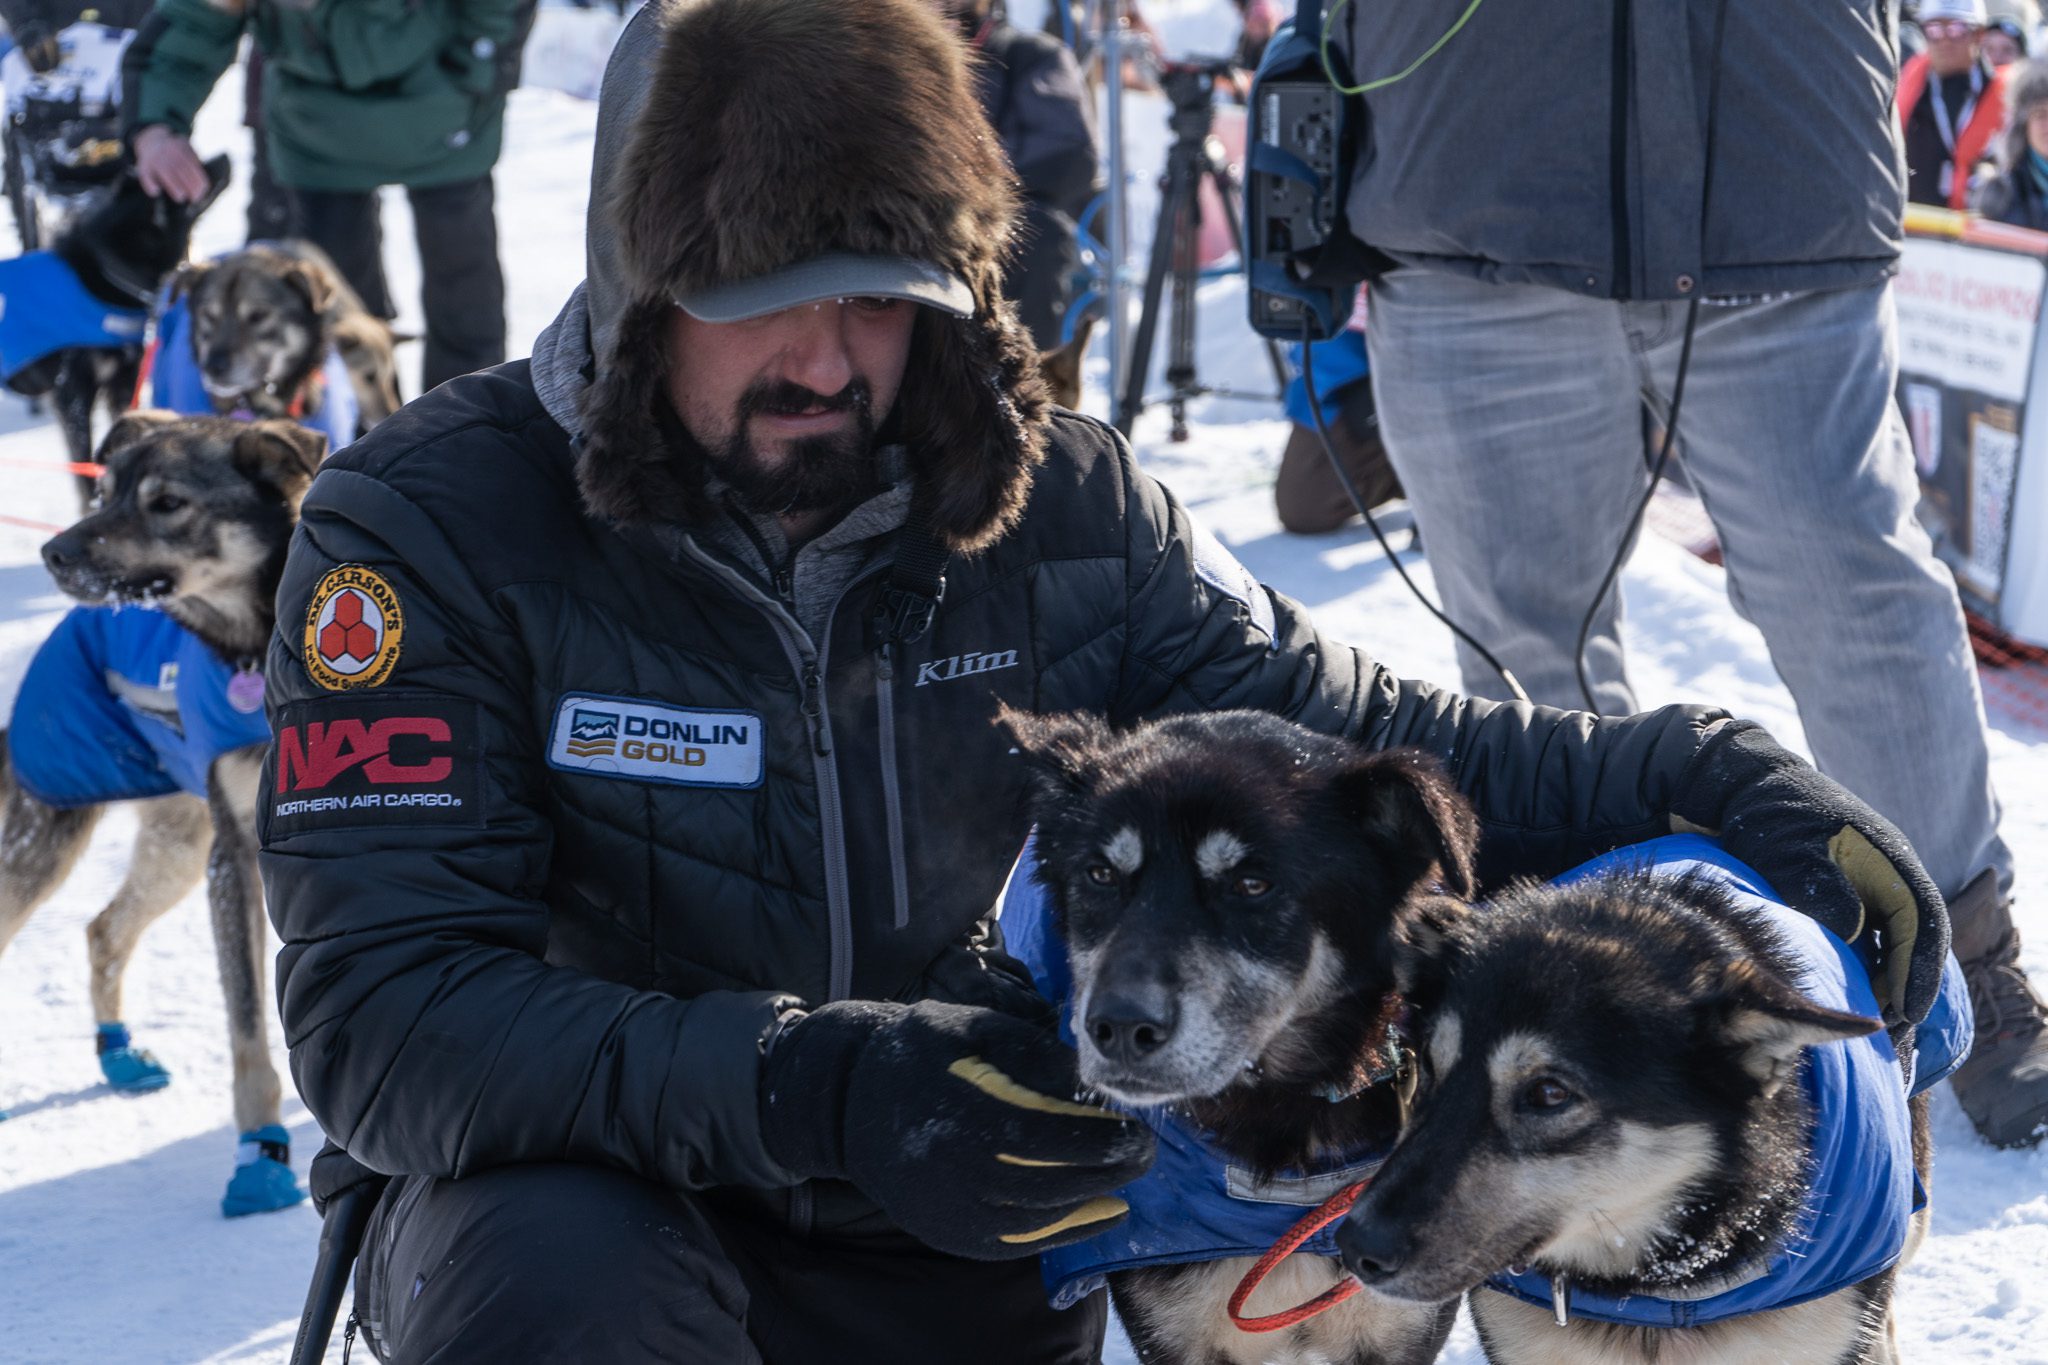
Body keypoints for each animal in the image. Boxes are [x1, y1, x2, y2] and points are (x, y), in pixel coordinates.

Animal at [0, 409, 325, 1219]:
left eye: (168, 503)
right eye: (106, 491)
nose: (53, 551)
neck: (251, 649)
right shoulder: (235, 860)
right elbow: (248, 1030)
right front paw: (260, 1156)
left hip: (176, 846)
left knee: (103, 929)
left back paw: (117, 1054)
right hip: (45, 845)